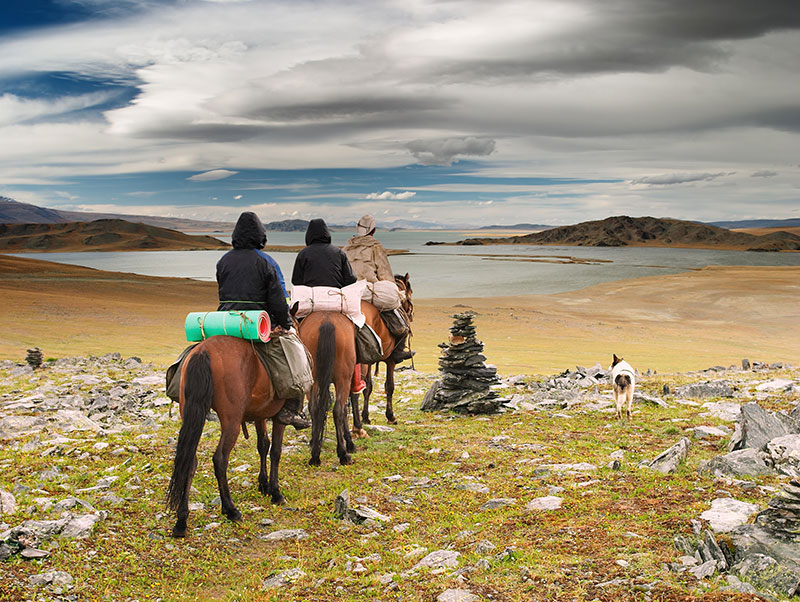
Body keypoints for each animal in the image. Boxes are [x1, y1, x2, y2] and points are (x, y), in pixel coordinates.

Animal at [166, 336, 288, 536]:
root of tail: (203, 351)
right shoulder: (278, 415)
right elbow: (276, 450)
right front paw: (276, 493)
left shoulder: (260, 413)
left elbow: (263, 445)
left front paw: (263, 485)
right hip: (231, 421)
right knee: (220, 459)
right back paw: (231, 510)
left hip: (191, 413)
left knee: (189, 461)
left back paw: (181, 521)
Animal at [294, 310, 356, 464]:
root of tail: (327, 322)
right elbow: (344, 410)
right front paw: (349, 443)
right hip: (343, 380)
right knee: (338, 410)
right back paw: (343, 454)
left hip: (313, 379)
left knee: (315, 409)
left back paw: (315, 455)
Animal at [350, 272, 412, 432]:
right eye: (410, 292)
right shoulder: (390, 361)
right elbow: (389, 386)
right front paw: (391, 416)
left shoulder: (370, 362)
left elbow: (368, 388)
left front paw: (366, 417)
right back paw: (357, 428)